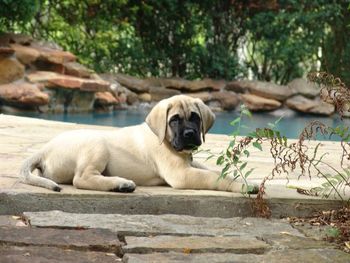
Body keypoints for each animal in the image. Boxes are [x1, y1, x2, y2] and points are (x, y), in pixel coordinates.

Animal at [21, 95, 258, 194]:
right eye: (174, 120)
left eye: (195, 118)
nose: (190, 134)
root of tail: (45, 149)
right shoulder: (180, 174)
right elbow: (215, 177)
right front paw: (243, 186)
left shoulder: (189, 164)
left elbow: (212, 170)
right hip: (97, 143)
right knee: (81, 178)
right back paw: (121, 183)